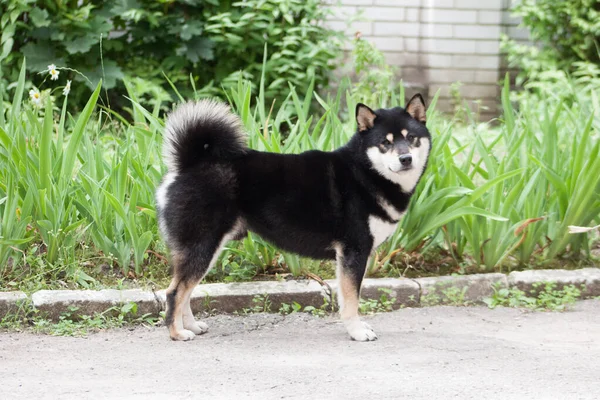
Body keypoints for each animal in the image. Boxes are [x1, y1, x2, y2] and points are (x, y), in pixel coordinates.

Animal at [156, 94, 432, 340]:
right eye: (385, 143)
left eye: (412, 138)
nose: (405, 158)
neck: (364, 172)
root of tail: (188, 165)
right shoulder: (354, 251)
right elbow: (351, 299)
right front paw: (357, 332)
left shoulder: (348, 256)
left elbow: (348, 297)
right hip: (203, 246)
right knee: (174, 292)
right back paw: (177, 333)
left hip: (205, 249)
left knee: (186, 290)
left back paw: (191, 326)